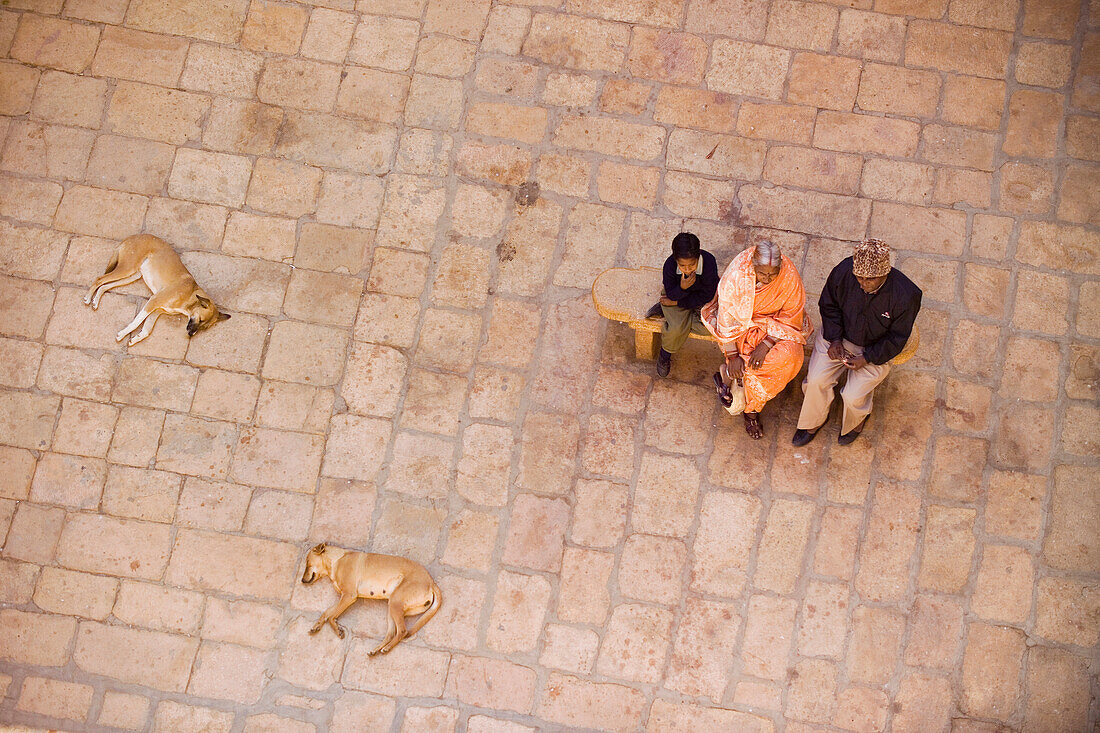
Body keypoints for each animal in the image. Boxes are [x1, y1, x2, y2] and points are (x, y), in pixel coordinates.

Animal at [84, 235, 229, 347]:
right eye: (201, 319)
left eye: (204, 327)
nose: (190, 335)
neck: (190, 295)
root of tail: (132, 236)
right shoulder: (153, 301)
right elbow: (137, 322)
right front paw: (123, 334)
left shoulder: (157, 311)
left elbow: (147, 330)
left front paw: (135, 339)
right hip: (127, 269)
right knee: (99, 279)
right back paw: (88, 297)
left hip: (132, 276)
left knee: (105, 286)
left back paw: (95, 301)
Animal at [301, 539, 442, 651]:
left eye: (307, 562)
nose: (302, 580)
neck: (336, 561)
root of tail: (431, 582)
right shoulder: (343, 597)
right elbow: (327, 612)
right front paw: (317, 625)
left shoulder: (349, 596)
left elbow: (331, 617)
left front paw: (337, 629)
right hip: (393, 608)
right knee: (391, 634)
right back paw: (377, 649)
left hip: (395, 602)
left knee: (402, 631)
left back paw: (387, 648)